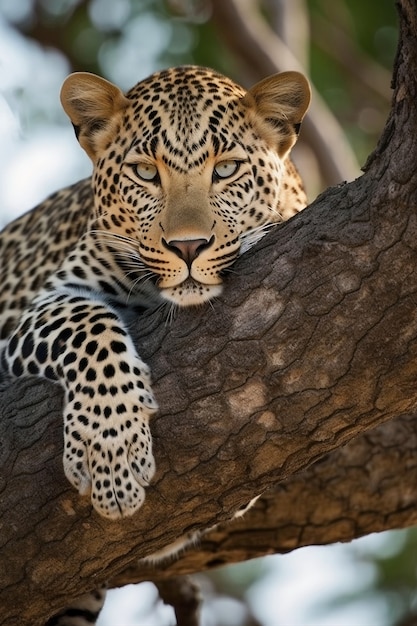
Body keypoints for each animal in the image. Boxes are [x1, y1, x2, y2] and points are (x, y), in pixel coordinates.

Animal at [0, 64, 308, 624]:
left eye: (227, 169)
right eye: (145, 173)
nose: (188, 247)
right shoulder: (44, 306)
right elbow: (89, 328)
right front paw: (112, 451)